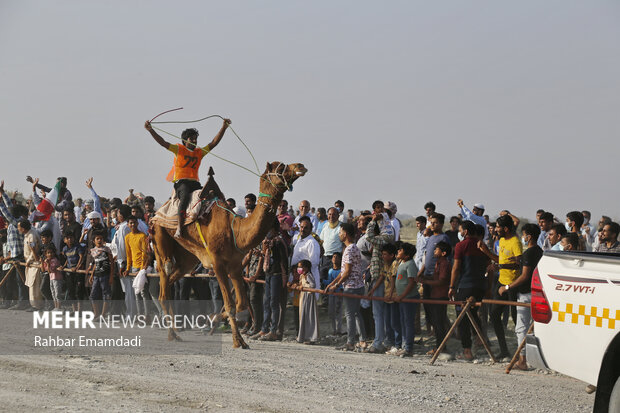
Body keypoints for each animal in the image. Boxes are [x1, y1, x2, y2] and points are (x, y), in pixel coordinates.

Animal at [150, 161, 306, 348]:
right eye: (281, 167)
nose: (300, 166)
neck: (236, 231)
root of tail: (155, 214)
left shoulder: (235, 265)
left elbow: (241, 303)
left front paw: (215, 319)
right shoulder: (217, 263)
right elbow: (230, 304)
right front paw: (237, 341)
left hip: (187, 258)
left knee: (170, 282)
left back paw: (174, 332)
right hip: (160, 238)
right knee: (164, 279)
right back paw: (172, 333)